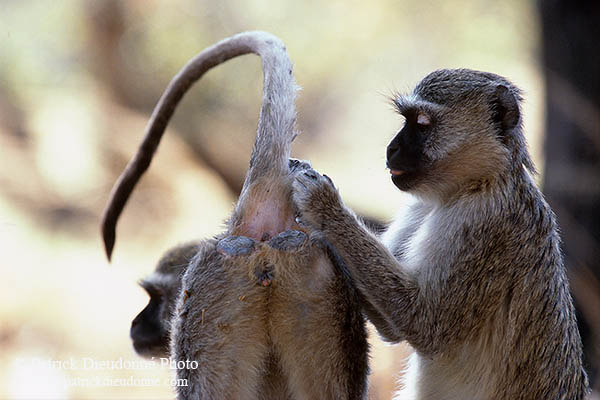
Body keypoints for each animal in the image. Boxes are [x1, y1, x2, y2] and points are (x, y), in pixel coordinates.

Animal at [292, 69, 588, 400]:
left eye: (422, 123)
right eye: (406, 119)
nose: (391, 149)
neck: (475, 184)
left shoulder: (483, 224)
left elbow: (423, 321)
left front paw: (324, 206)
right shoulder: (419, 207)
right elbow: (394, 327)